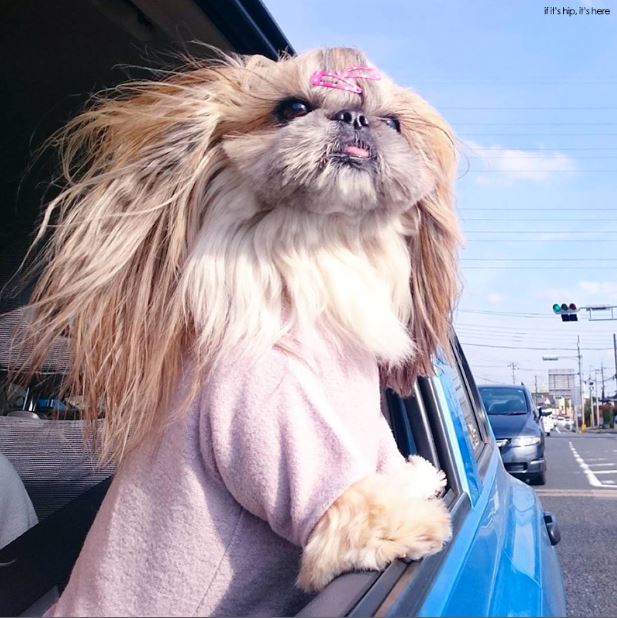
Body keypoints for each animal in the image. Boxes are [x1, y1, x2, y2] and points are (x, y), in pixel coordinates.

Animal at [21, 47, 460, 612]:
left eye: (393, 122)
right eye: (293, 107)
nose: (355, 117)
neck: (325, 251)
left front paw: (419, 475)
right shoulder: (301, 455)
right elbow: (360, 515)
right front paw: (422, 518)